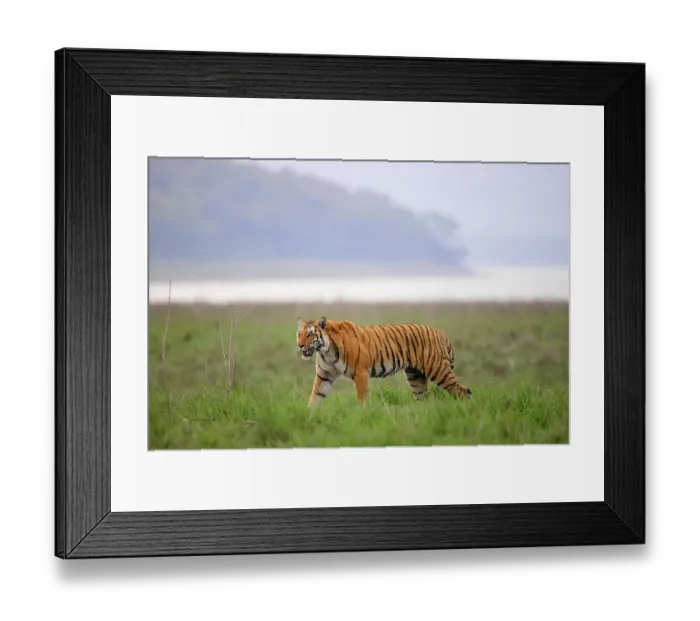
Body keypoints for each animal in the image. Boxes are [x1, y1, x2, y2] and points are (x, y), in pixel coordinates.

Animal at [296, 316, 472, 407]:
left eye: (310, 334)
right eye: (299, 334)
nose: (299, 345)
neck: (326, 351)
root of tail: (440, 332)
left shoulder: (361, 373)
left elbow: (362, 398)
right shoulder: (324, 375)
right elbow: (315, 396)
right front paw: (309, 416)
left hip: (438, 369)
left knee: (463, 391)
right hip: (415, 376)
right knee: (422, 397)